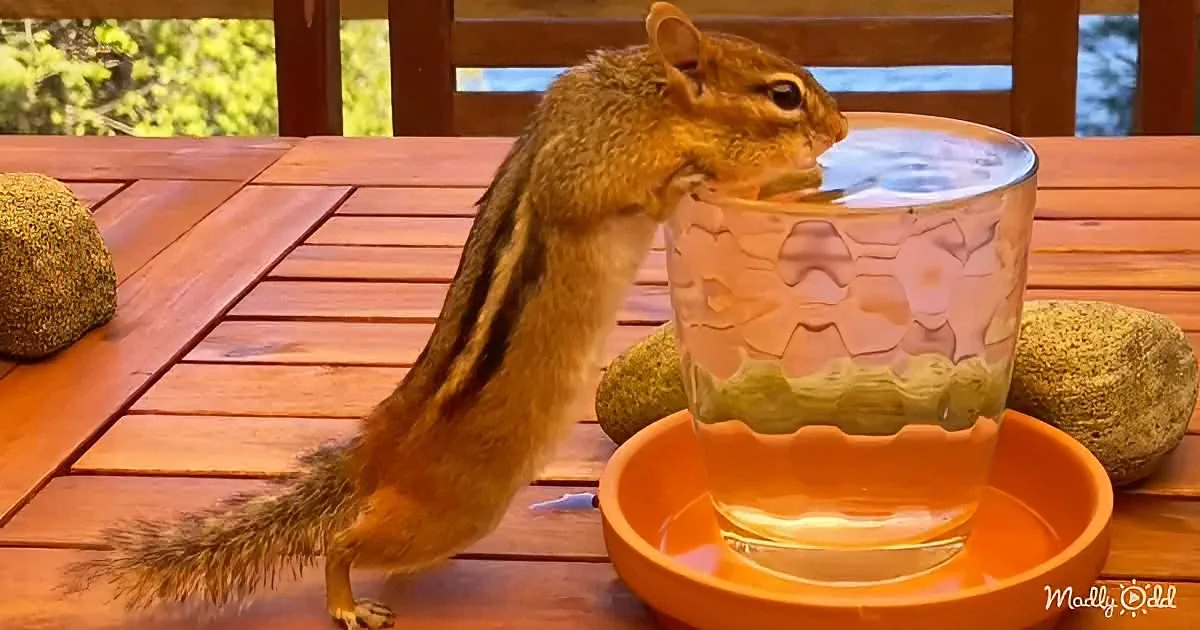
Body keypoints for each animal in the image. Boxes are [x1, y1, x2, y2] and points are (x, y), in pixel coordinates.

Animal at [60, 3, 848, 628]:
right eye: (783, 95)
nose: (841, 128)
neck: (649, 100)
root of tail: (375, 451)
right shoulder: (592, 162)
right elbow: (607, 199)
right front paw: (687, 179)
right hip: (453, 514)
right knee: (343, 542)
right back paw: (347, 603)